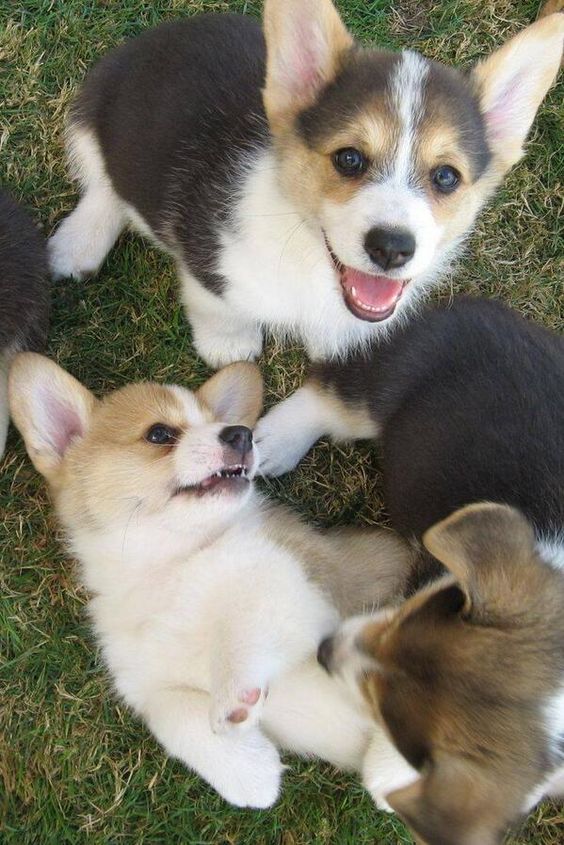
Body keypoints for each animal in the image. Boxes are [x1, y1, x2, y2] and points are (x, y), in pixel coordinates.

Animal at [9, 352, 414, 808]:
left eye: (221, 423)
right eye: (159, 433)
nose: (241, 433)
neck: (172, 562)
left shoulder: (298, 576)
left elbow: (244, 613)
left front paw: (233, 693)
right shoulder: (147, 683)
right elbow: (172, 716)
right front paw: (250, 770)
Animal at [48, 1, 564, 368]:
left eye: (446, 176)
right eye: (349, 158)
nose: (392, 249)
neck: (309, 256)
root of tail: (161, 34)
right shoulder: (207, 260)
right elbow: (218, 308)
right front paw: (228, 347)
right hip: (95, 110)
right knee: (104, 183)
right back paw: (77, 244)